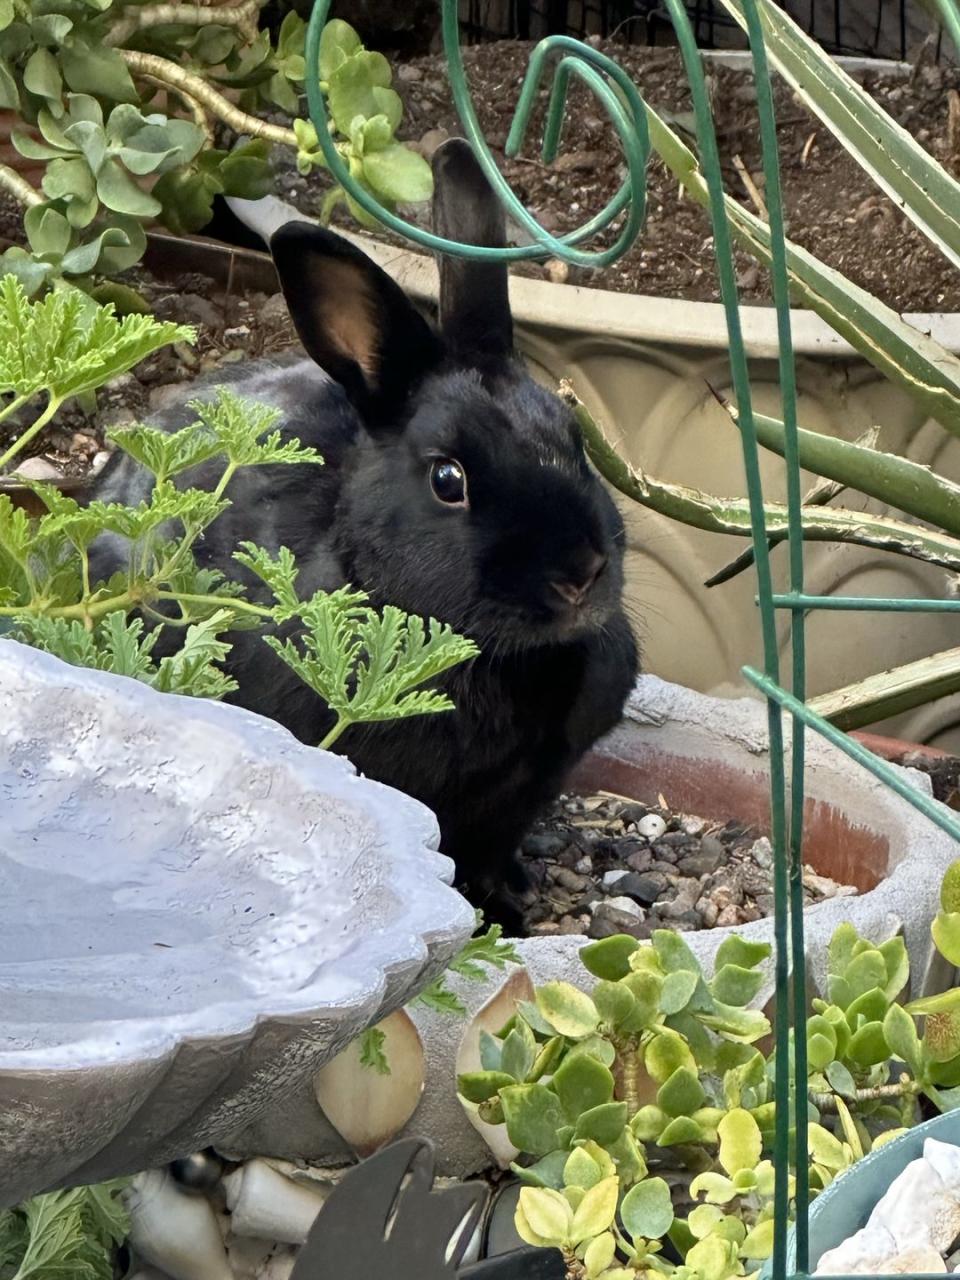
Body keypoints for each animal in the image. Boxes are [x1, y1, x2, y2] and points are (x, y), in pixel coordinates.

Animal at [90, 140, 642, 926]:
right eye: (448, 479)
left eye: (576, 443)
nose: (580, 573)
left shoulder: (516, 802)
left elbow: (490, 852)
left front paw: (502, 910)